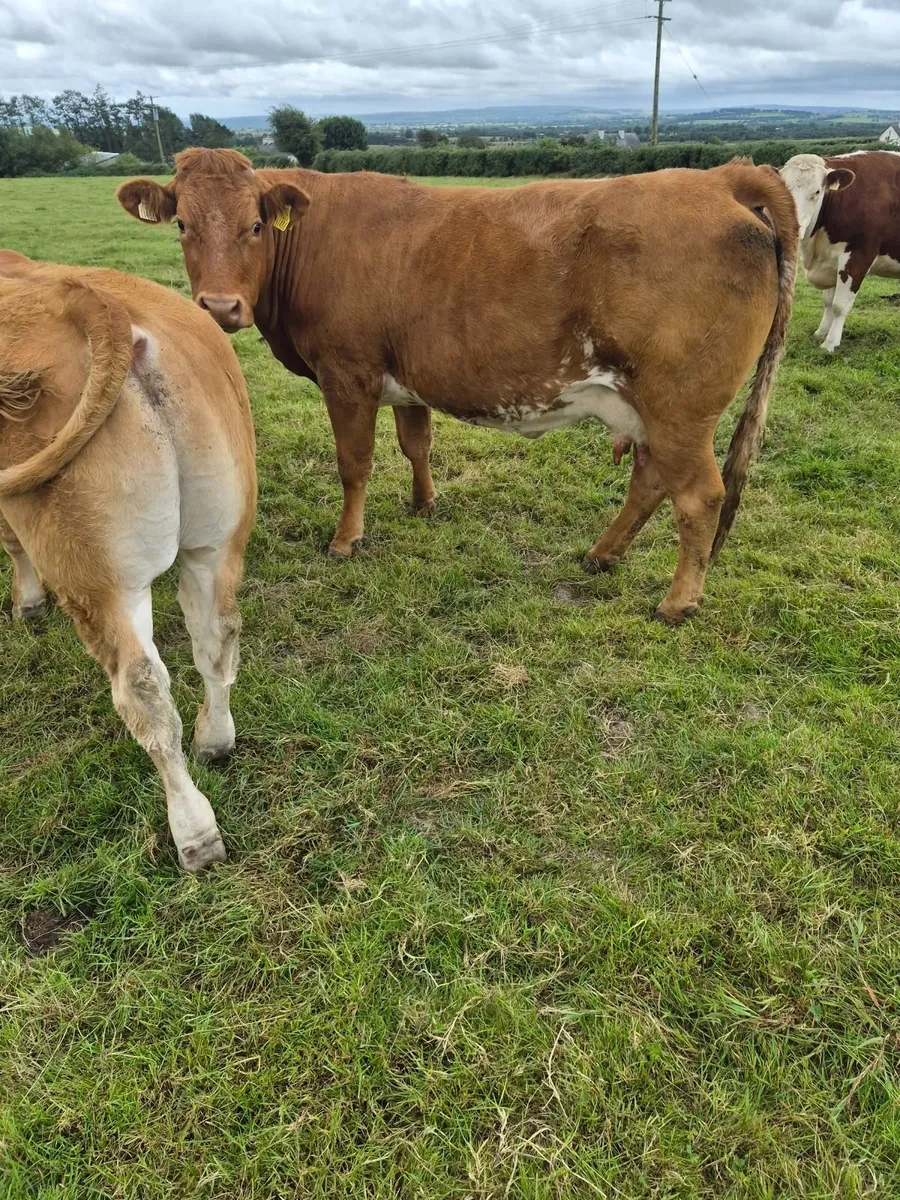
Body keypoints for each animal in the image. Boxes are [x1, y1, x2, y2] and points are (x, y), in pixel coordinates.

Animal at [0, 251, 257, 871]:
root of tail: (106, 309)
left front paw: (27, 605)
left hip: (98, 576)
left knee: (141, 687)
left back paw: (194, 830)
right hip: (216, 541)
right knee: (218, 634)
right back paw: (215, 740)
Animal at [118, 150, 797, 625]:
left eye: (257, 225)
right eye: (182, 224)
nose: (219, 306)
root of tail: (719, 178)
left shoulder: (347, 374)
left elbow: (354, 462)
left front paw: (346, 539)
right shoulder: (407, 379)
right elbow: (415, 443)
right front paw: (424, 503)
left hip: (680, 407)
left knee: (700, 497)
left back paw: (678, 602)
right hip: (650, 408)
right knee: (653, 481)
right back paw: (603, 554)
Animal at [779, 150, 900, 352]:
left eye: (817, 191)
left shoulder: (858, 257)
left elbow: (839, 305)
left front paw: (830, 343)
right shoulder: (829, 261)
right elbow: (828, 302)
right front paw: (820, 333)